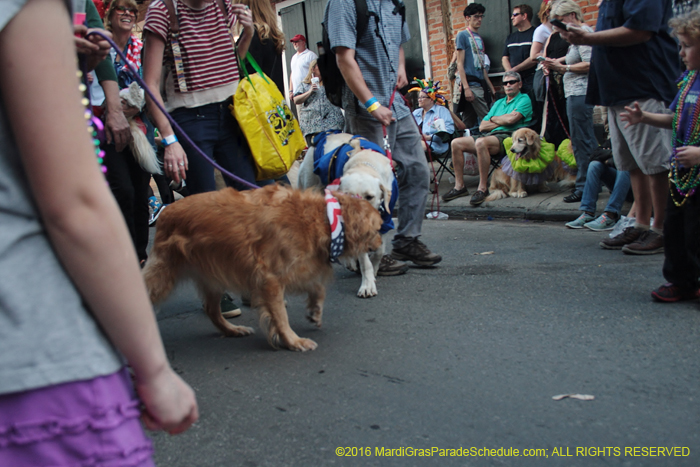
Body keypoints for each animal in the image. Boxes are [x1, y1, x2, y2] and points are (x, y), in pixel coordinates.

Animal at [144, 184, 382, 352]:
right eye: (377, 228)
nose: (381, 244)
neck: (324, 218)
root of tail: (167, 211)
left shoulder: (300, 267)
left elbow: (318, 288)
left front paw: (315, 311)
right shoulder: (270, 279)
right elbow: (281, 316)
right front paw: (293, 341)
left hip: (212, 276)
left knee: (211, 309)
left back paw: (233, 330)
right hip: (162, 275)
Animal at [296, 132, 394, 300]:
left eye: (369, 197)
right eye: (346, 196)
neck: (364, 164)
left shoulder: (386, 220)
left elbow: (379, 252)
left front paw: (375, 270)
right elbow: (365, 262)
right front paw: (367, 285)